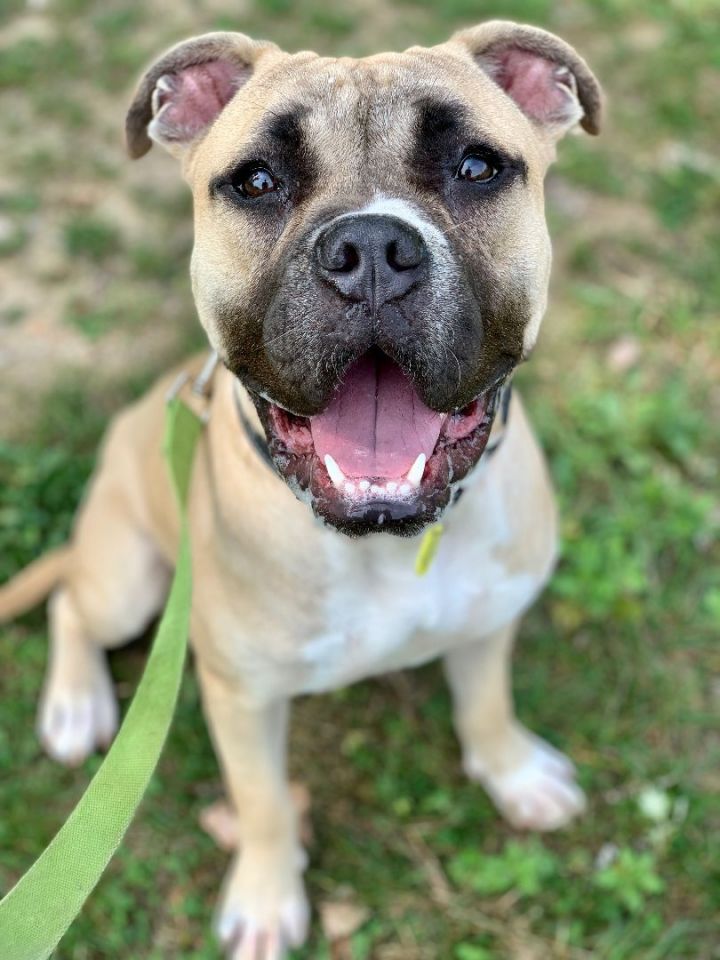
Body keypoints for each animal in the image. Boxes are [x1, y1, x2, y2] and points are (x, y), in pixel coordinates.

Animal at [1, 24, 600, 960]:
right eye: (255, 181)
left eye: (476, 165)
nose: (373, 253)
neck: (384, 541)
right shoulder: (240, 697)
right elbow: (264, 804)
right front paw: (266, 895)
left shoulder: (490, 619)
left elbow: (487, 704)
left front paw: (513, 773)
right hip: (129, 576)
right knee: (69, 602)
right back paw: (73, 704)